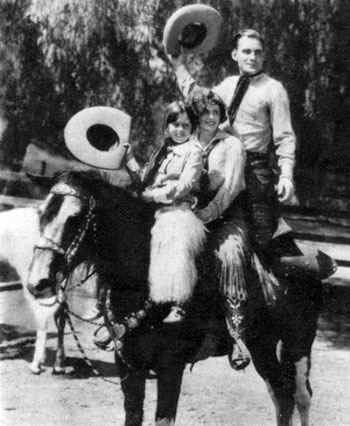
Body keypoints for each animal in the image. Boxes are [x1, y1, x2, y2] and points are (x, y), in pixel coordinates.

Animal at [26, 171, 322, 426]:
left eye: (75, 218)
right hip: (262, 345)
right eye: (41, 214)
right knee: (281, 395)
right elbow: (133, 415)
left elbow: (164, 418)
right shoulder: (129, 364)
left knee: (301, 397)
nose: (38, 282)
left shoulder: (171, 366)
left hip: (298, 345)